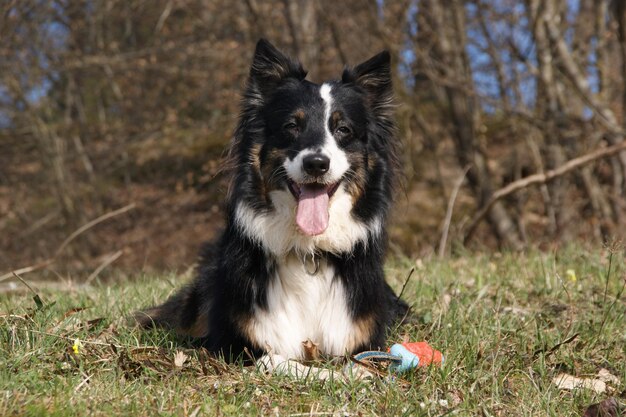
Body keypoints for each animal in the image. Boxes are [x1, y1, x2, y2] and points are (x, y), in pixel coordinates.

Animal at [135, 39, 404, 360]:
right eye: (291, 126)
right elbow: (283, 361)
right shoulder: (235, 343)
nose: (316, 164)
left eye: (343, 129)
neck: (308, 250)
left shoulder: (362, 341)